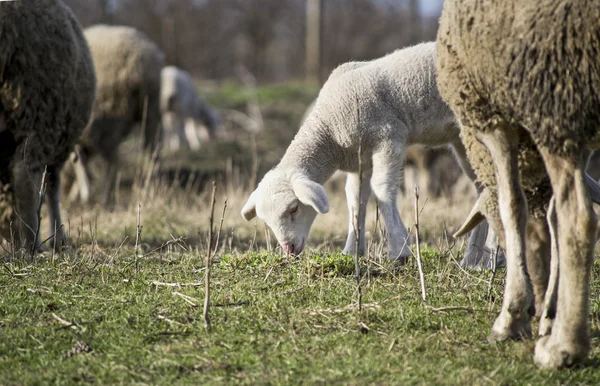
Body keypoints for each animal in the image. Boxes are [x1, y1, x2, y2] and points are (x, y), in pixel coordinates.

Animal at [0, 0, 95, 250]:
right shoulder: (59, 148)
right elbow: (52, 187)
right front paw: (59, 238)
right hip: (40, 107)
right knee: (24, 173)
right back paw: (33, 243)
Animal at [69, 24, 164, 205]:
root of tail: (139, 63)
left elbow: (79, 163)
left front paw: (84, 193)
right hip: (151, 110)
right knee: (153, 150)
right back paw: (153, 187)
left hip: (112, 114)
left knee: (113, 162)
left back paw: (105, 197)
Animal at [241, 42, 494, 264]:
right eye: (265, 220)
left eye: (293, 208)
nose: (289, 249)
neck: (330, 128)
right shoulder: (359, 160)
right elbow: (355, 200)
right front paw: (352, 251)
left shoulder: (389, 136)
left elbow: (382, 189)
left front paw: (399, 250)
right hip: (462, 140)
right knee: (484, 188)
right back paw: (474, 259)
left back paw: (490, 260)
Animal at [436, 0, 600, 370]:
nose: (536, 306)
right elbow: (551, 216)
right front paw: (548, 315)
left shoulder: (493, 120)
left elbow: (513, 207)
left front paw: (511, 318)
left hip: (555, 95)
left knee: (579, 219)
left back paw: (564, 347)